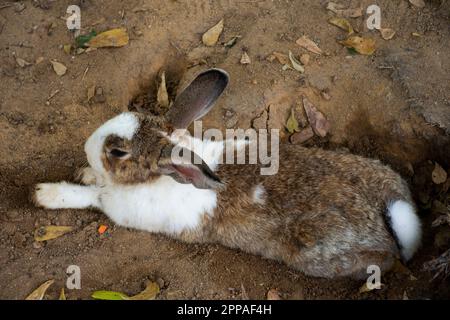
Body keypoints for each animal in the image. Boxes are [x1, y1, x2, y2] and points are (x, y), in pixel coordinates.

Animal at [32, 69, 422, 278]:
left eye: (117, 152)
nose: (87, 146)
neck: (163, 173)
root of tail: (388, 207)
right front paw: (85, 172)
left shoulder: (116, 207)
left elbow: (91, 197)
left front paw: (44, 193)